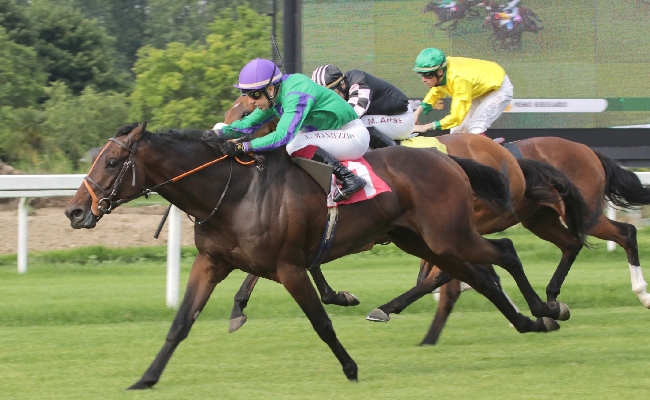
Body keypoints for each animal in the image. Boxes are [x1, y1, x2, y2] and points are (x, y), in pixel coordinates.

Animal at [63, 121, 564, 388]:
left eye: (112, 162)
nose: (74, 211)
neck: (234, 193)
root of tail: (447, 158)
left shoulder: (288, 267)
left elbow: (321, 322)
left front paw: (351, 368)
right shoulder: (212, 262)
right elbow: (181, 323)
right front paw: (146, 378)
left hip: (449, 235)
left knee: (505, 252)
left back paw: (547, 308)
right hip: (424, 240)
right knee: (480, 275)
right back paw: (527, 320)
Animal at [221, 95, 588, 332]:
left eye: (245, 110)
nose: (219, 136)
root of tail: (507, 156)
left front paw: (238, 306)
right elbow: (302, 267)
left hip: (455, 228)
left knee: (451, 270)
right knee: (563, 245)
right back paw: (549, 303)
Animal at [378, 137, 648, 344]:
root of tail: (587, 150)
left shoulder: (453, 236)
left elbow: (441, 279)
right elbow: (436, 278)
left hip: (585, 213)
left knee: (626, 233)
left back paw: (642, 293)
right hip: (540, 218)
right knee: (572, 244)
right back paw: (551, 299)